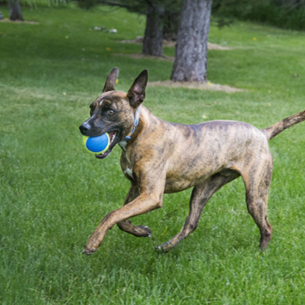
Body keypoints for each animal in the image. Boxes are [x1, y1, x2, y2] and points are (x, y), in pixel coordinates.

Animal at [79, 67, 304, 254]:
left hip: (255, 195)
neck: (140, 131)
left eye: (110, 111)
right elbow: (121, 219)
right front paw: (141, 230)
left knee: (267, 226)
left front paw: (92, 242)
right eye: (91, 108)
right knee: (191, 223)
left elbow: (112, 214)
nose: (83, 127)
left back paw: (261, 253)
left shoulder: (151, 195)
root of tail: (262, 133)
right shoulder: (137, 188)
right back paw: (166, 246)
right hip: (203, 189)